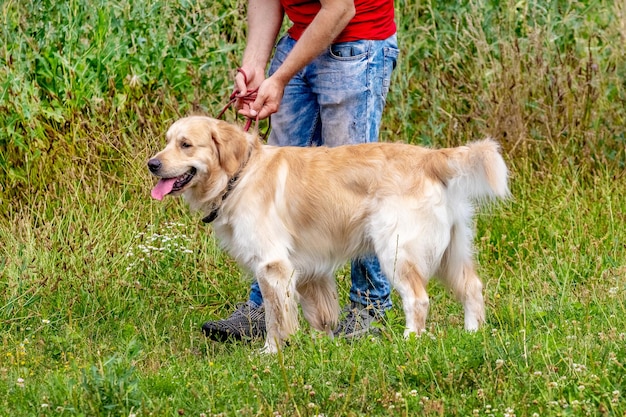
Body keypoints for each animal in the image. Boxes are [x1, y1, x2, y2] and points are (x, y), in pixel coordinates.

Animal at [149, 114, 510, 352]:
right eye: (167, 141)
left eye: (185, 145)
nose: (152, 164)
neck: (238, 175)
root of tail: (431, 157)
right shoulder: (308, 269)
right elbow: (318, 313)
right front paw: (321, 346)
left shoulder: (273, 265)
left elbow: (276, 317)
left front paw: (271, 353)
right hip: (452, 251)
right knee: (472, 288)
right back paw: (472, 334)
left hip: (397, 251)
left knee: (418, 299)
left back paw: (410, 341)